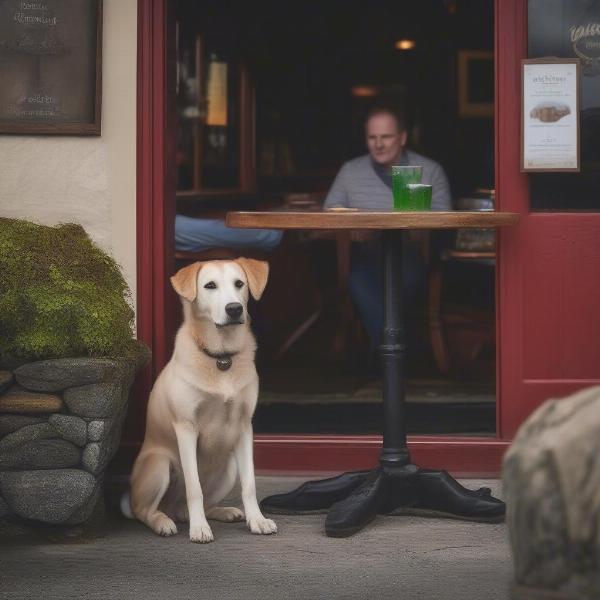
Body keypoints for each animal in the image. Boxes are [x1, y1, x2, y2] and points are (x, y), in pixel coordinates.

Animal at [125, 258, 278, 544]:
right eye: (210, 286)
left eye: (239, 284)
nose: (234, 309)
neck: (221, 357)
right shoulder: (186, 427)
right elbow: (193, 487)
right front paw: (199, 529)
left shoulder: (244, 427)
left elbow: (249, 484)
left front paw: (257, 520)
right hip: (159, 465)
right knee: (145, 510)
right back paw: (162, 522)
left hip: (228, 467)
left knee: (188, 508)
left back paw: (223, 511)